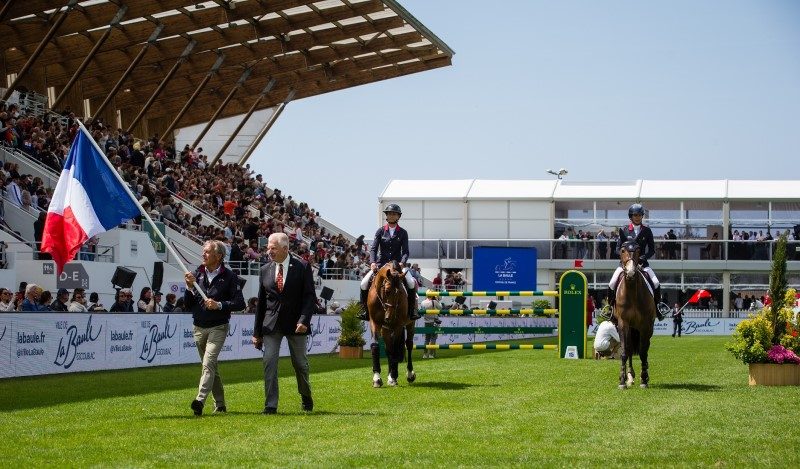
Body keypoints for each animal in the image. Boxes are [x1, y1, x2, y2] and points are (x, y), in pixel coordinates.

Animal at [368, 260, 418, 388]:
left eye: (400, 292)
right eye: (387, 291)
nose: (389, 317)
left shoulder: (398, 325)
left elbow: (396, 349)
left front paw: (394, 376)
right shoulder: (374, 322)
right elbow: (375, 346)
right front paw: (377, 378)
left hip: (410, 324)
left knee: (408, 345)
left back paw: (409, 374)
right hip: (386, 329)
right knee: (389, 349)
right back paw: (390, 376)